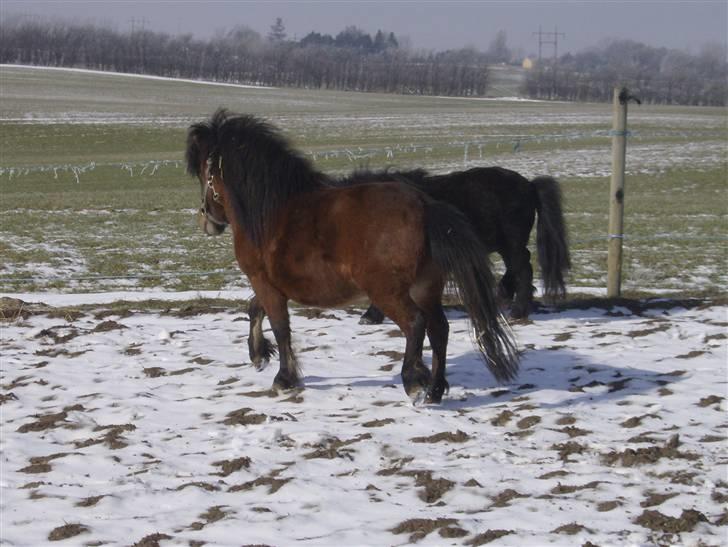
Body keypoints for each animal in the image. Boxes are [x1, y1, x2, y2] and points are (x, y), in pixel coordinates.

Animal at [188, 109, 516, 404]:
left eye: (205, 172)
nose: (206, 220)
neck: (269, 212)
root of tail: (425, 206)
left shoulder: (263, 282)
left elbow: (280, 327)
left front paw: (283, 379)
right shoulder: (272, 284)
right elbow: (255, 309)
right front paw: (259, 355)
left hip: (388, 292)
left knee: (416, 324)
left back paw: (414, 382)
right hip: (425, 289)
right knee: (439, 330)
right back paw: (434, 390)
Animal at [344, 166, 572, 322]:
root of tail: (530, 185)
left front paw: (371, 315)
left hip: (511, 243)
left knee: (523, 268)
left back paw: (517, 311)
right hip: (505, 245)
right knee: (519, 265)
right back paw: (505, 294)